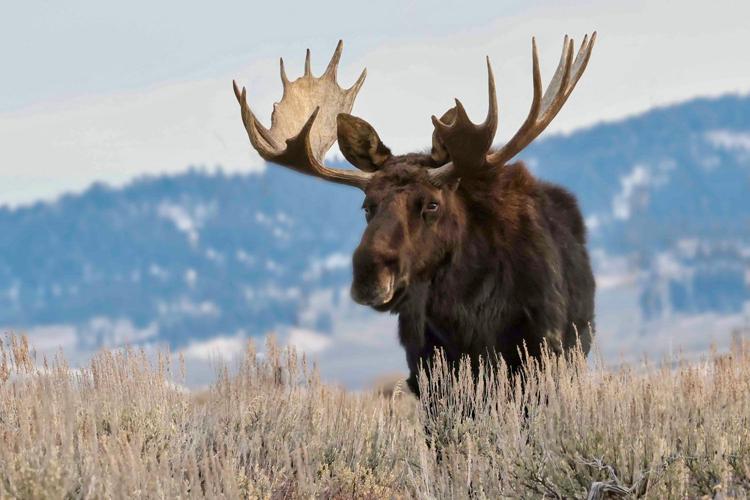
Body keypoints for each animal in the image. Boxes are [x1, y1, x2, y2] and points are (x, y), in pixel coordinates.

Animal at [233, 34, 597, 395]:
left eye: (432, 204)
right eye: (367, 206)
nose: (369, 273)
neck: (472, 317)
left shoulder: (544, 354)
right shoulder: (429, 372)